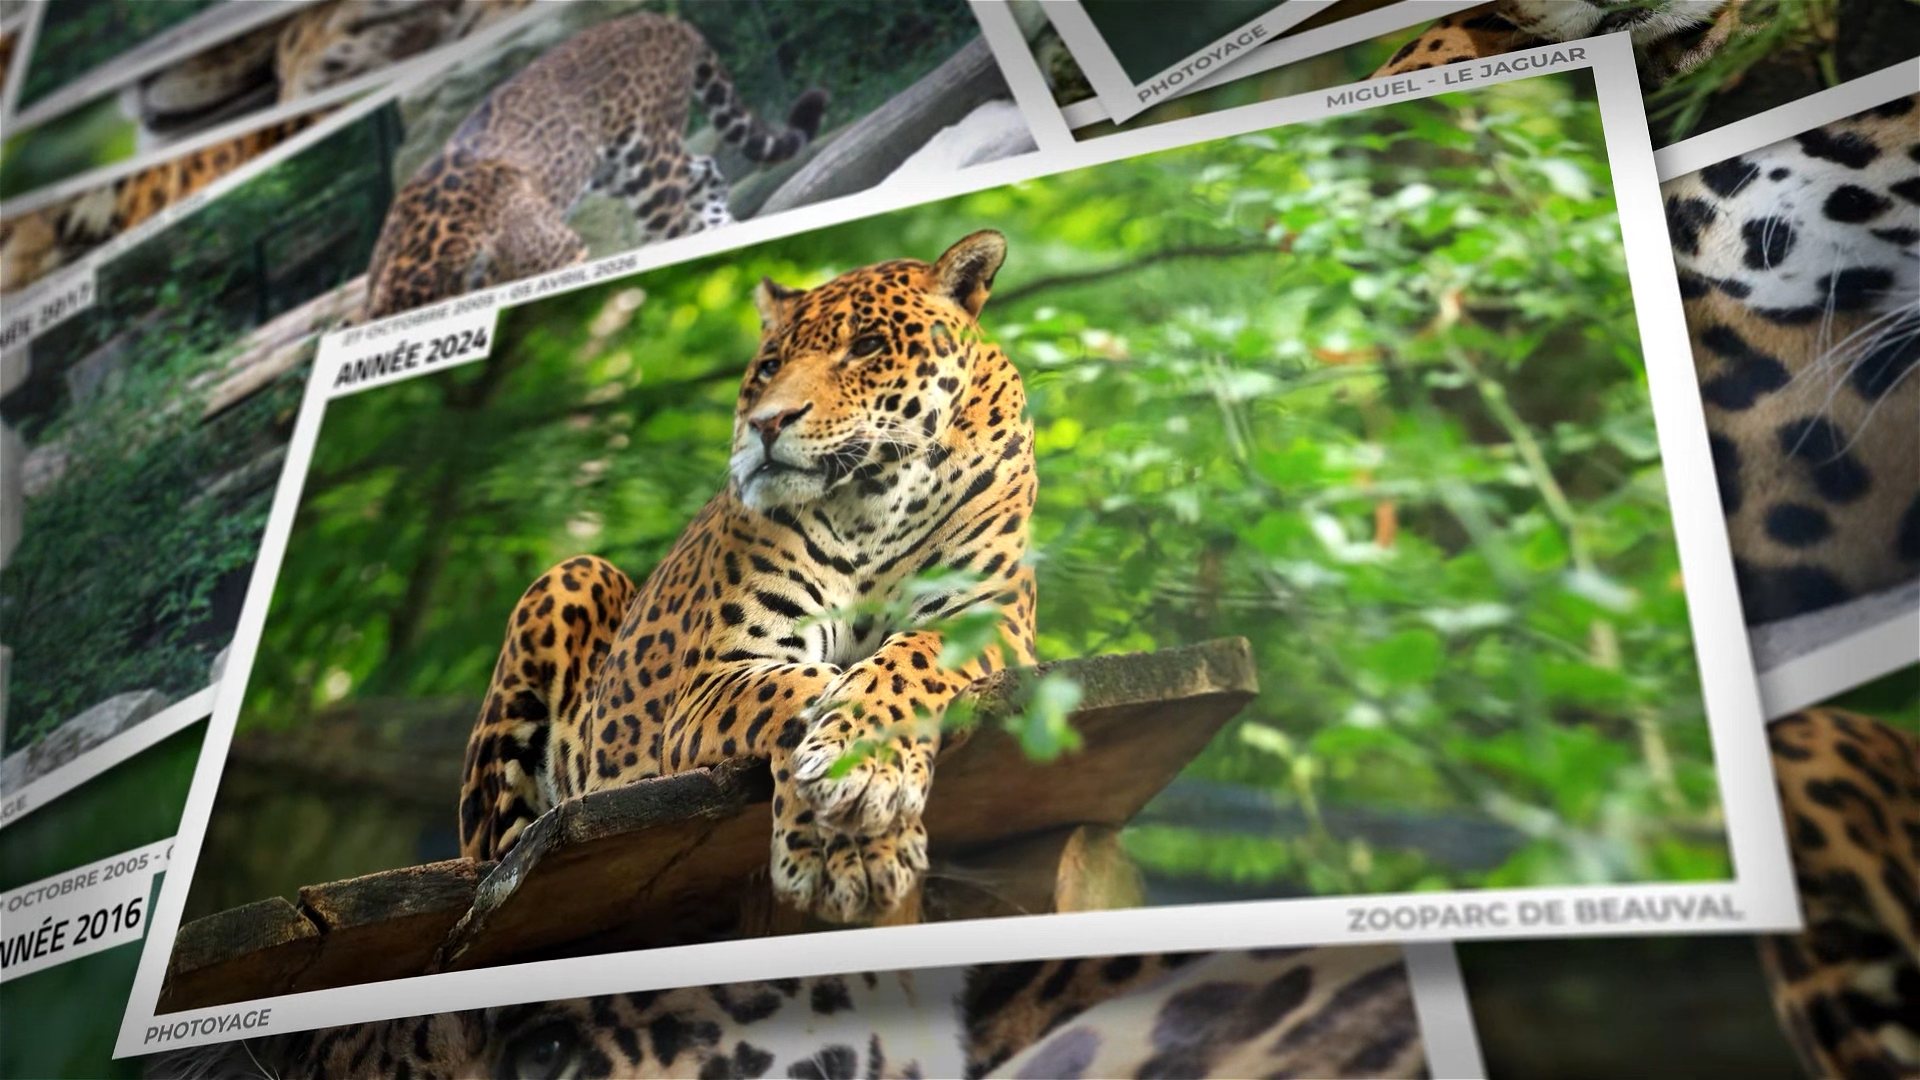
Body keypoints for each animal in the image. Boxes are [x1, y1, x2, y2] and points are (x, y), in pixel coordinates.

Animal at [359, 9, 830, 322]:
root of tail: (669, 21)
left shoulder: (562, 252)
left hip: (647, 160)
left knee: (676, 216)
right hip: (618, 170)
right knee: (704, 170)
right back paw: (722, 226)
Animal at [458, 231, 1036, 927]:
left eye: (867, 347)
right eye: (768, 368)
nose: (768, 422)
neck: (869, 500)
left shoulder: (986, 620)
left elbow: (902, 665)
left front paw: (862, 786)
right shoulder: (713, 679)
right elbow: (804, 685)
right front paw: (838, 835)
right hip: (570, 580)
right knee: (494, 861)